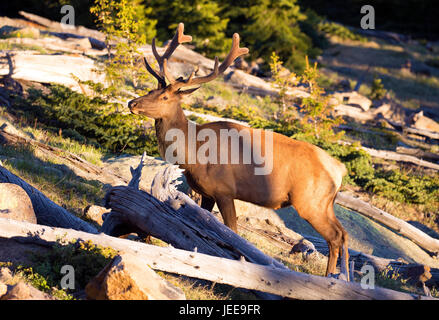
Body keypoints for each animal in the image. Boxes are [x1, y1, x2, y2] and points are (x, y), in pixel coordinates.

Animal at [127, 23, 350, 280]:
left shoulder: (224, 190)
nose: (132, 103)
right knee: (343, 234)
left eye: (164, 96)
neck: (192, 153)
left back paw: (330, 278)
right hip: (325, 203)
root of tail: (339, 169)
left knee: (335, 236)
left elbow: (232, 231)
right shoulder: (207, 193)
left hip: (310, 202)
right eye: (152, 89)